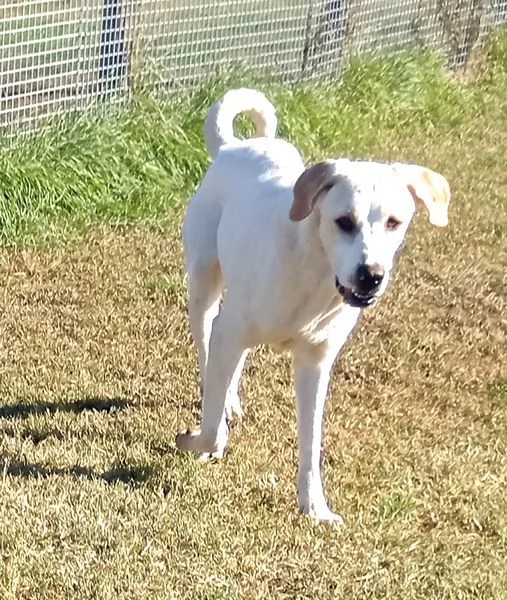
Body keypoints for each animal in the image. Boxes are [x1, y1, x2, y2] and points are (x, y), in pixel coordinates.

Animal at [176, 88, 452, 520]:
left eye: (395, 222)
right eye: (344, 221)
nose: (370, 274)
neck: (315, 274)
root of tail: (234, 147)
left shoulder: (316, 361)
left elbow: (310, 443)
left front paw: (315, 507)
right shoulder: (231, 329)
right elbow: (210, 430)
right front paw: (199, 440)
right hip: (204, 288)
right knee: (208, 346)